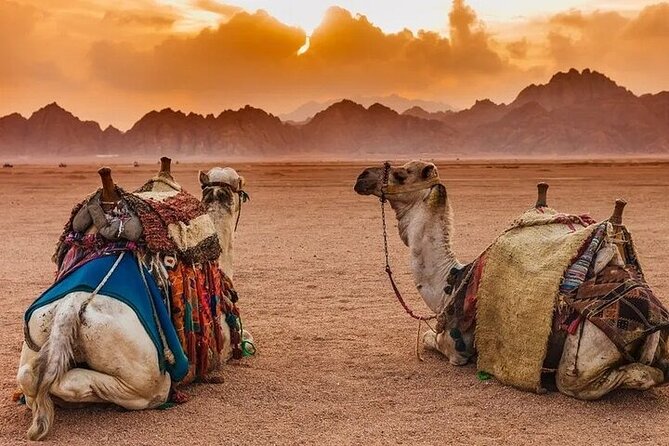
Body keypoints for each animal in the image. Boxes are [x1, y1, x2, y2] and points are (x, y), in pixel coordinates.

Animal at [354, 160, 669, 399]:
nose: (362, 176)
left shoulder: (456, 348)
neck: (450, 282)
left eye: (402, 173)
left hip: (584, 355)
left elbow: (430, 339)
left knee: (593, 379)